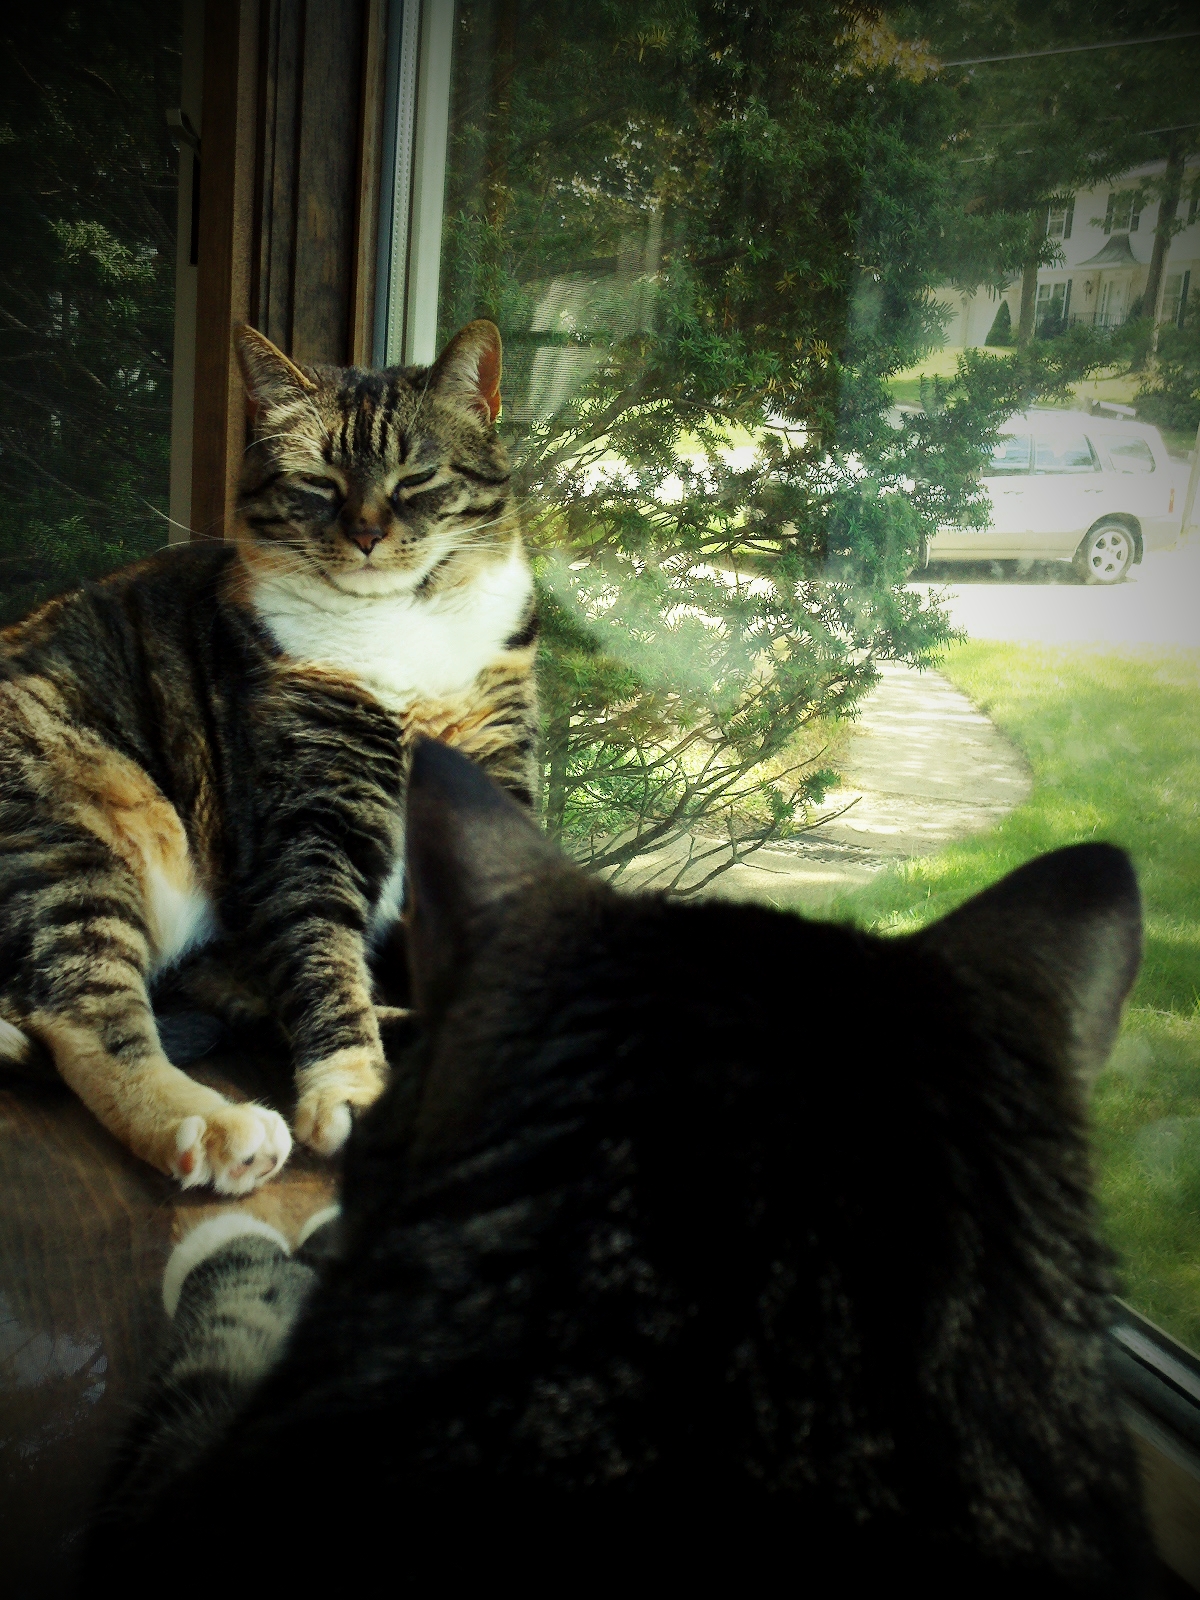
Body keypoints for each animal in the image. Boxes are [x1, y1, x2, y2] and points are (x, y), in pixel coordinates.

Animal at [0, 321, 538, 1193]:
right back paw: (211, 1127)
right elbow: (321, 959)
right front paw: (350, 1090)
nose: (366, 534)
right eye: (317, 482)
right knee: (83, 1015)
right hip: (76, 835)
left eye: (416, 478)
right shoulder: (305, 823)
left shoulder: (498, 767)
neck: (400, 630)